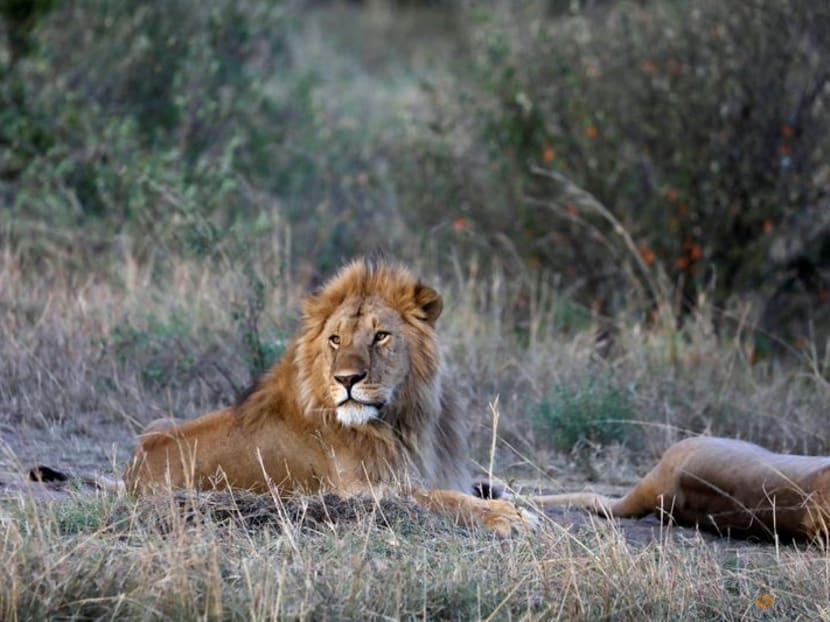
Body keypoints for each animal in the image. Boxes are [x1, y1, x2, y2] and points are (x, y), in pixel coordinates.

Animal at [122, 258, 534, 536]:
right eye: (336, 339)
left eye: (380, 336)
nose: (347, 379)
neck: (405, 421)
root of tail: (130, 473)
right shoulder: (361, 493)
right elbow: (437, 498)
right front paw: (505, 515)